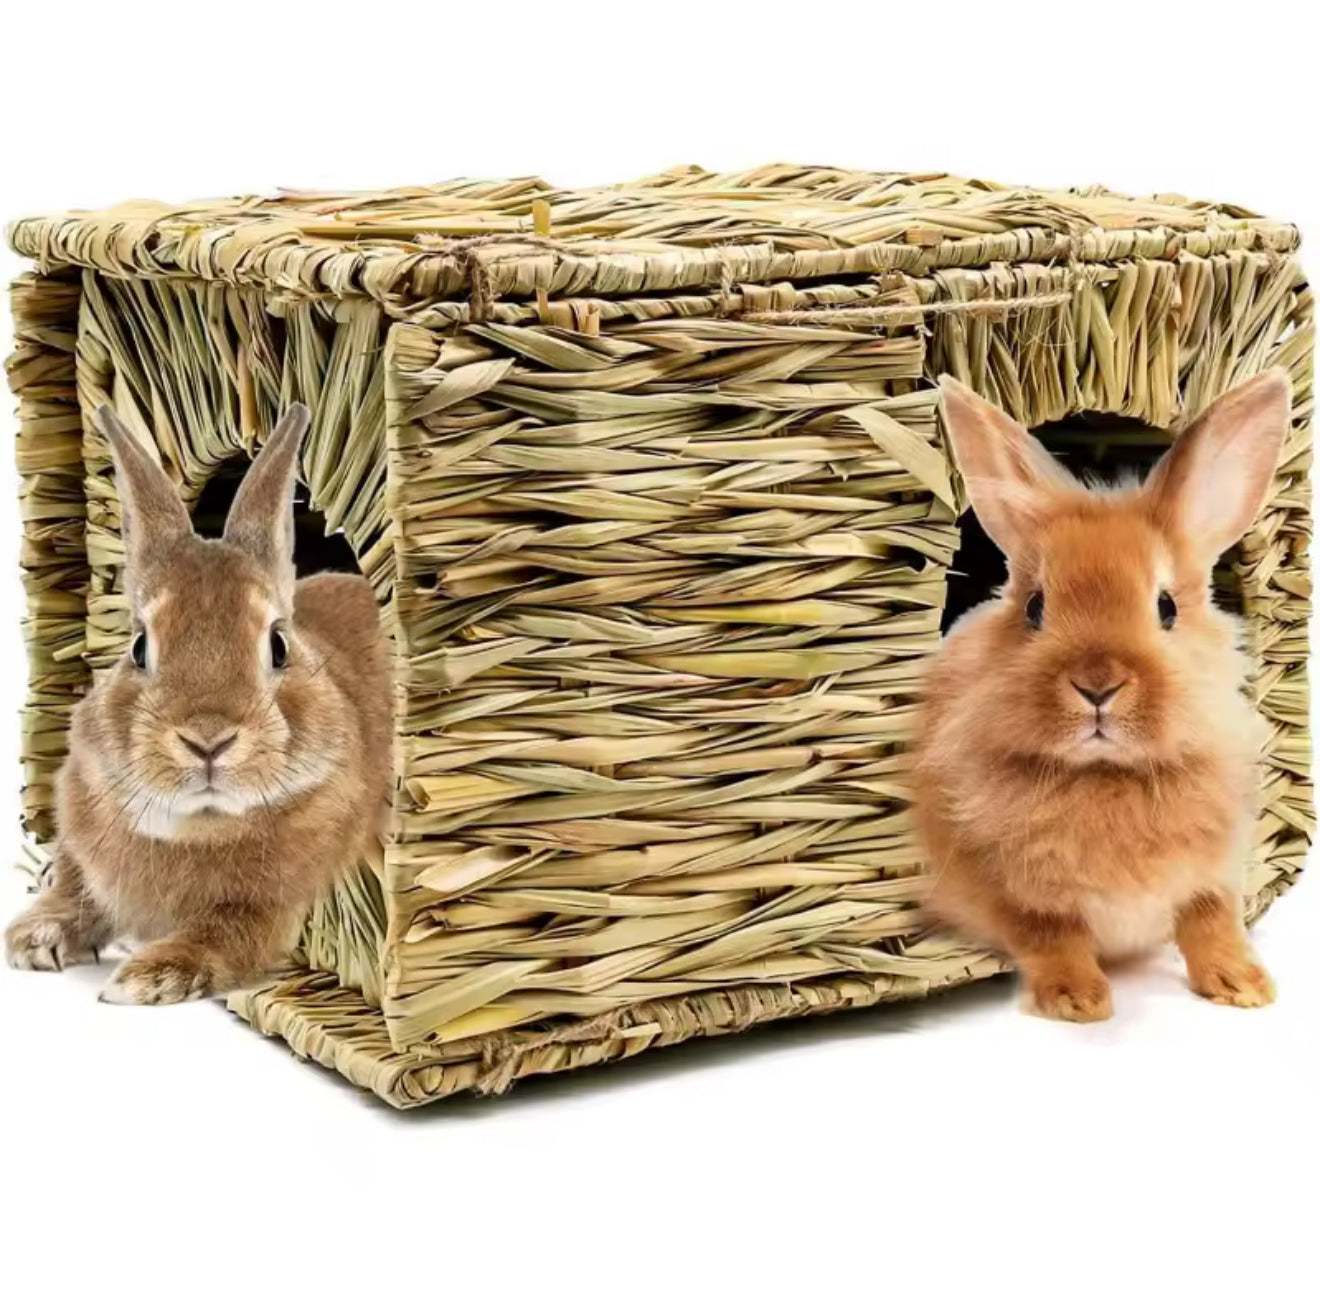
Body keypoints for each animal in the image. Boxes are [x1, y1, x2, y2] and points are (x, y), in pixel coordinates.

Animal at [3, 403, 391, 1004]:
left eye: (278, 645)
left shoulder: (269, 907)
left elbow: (225, 935)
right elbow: (77, 888)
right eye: (139, 646)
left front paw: (146, 978)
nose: (208, 740)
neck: (198, 825)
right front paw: (34, 937)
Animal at [913, 369, 1292, 1022]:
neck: (1108, 775)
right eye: (1035, 608)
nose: (1097, 685)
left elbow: (1211, 920)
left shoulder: (1213, 873)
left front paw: (1244, 986)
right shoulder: (1011, 891)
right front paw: (1077, 1000)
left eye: (1166, 607)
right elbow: (1050, 933)